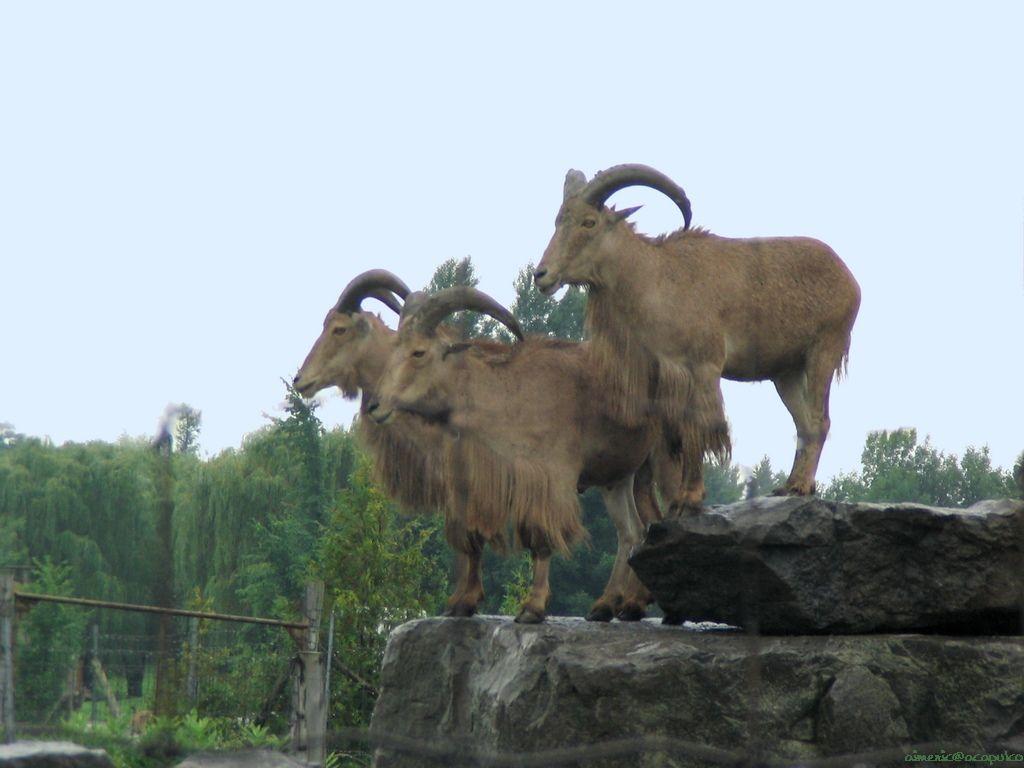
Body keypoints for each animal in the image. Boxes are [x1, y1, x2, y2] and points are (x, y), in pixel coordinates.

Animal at [295, 272, 662, 621]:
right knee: (633, 531)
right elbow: (468, 537)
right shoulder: (468, 483)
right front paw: (462, 602)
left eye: (339, 329)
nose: (300, 380)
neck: (500, 393)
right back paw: (611, 605)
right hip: (620, 476)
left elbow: (537, 539)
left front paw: (531, 608)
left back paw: (629, 603)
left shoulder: (545, 480)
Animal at [534, 164, 861, 510]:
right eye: (558, 220)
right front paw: (684, 497)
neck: (656, 277)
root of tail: (849, 279)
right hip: (785, 373)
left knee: (818, 420)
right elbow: (682, 430)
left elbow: (699, 427)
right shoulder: (671, 374)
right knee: (803, 423)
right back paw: (789, 486)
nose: (542, 275)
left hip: (822, 352)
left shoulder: (703, 367)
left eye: (589, 222)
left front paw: (689, 497)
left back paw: (801, 485)